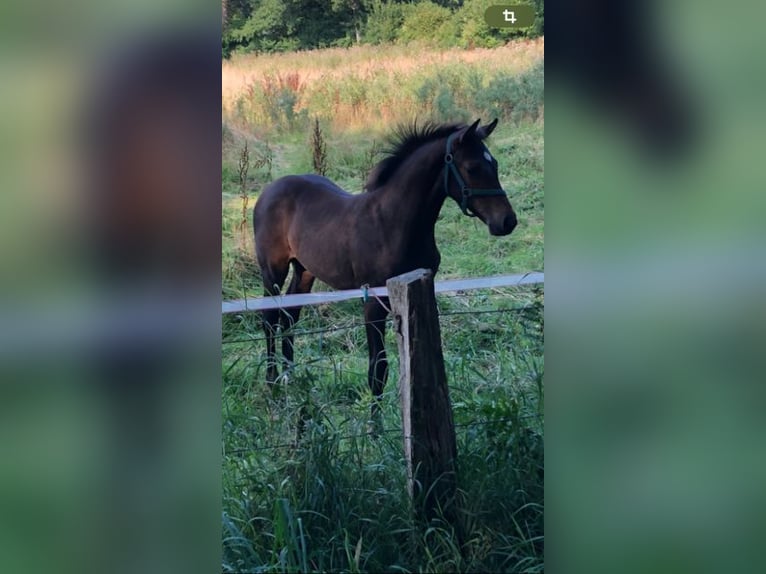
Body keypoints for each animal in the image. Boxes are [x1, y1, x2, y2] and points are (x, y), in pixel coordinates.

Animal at [255, 118, 520, 414]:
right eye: (473, 167)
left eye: (494, 164)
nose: (507, 221)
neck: (393, 223)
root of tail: (269, 189)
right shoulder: (373, 301)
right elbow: (378, 370)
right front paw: (375, 424)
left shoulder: (419, 291)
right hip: (272, 269)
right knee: (269, 317)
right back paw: (272, 382)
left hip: (304, 269)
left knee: (290, 313)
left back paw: (291, 376)